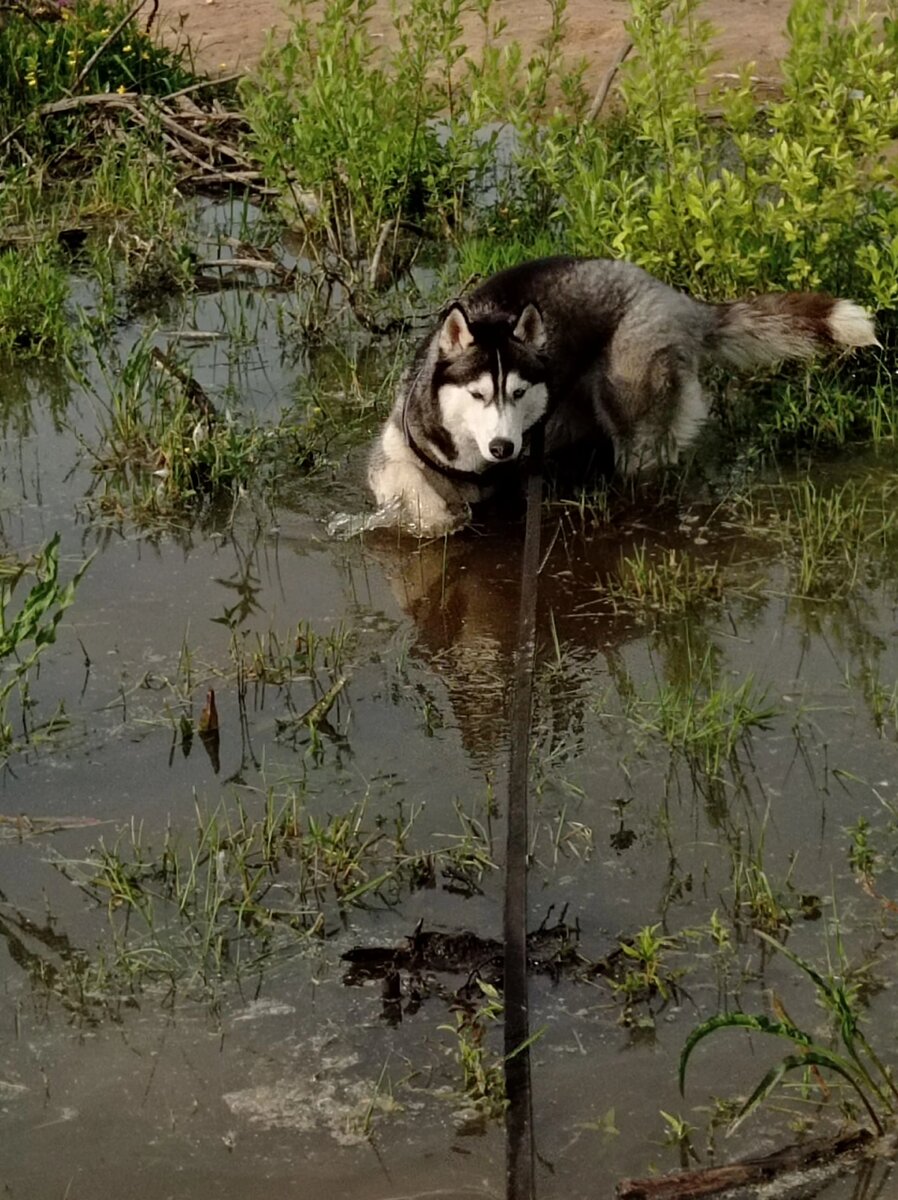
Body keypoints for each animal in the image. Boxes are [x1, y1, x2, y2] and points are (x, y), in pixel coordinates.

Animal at [367, 258, 878, 535]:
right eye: (476, 395)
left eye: (518, 392)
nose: (503, 447)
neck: (469, 459)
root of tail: (677, 298)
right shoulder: (396, 449)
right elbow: (407, 482)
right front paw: (435, 516)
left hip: (635, 411)